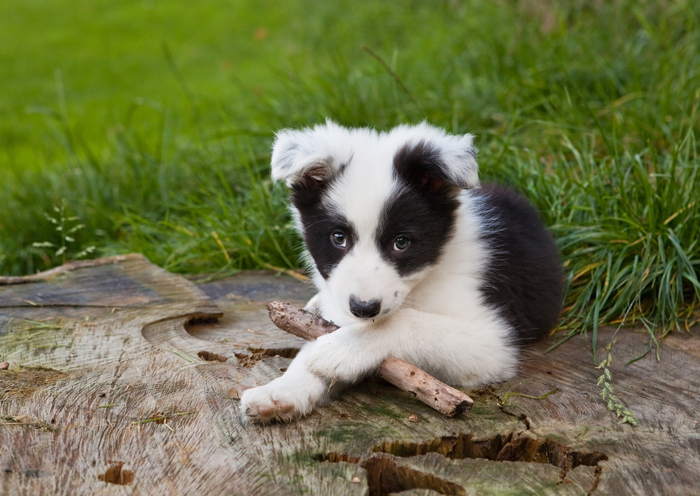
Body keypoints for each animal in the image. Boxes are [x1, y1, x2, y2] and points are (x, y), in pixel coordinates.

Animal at [241, 120, 564, 422]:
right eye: (338, 238)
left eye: (401, 242)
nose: (364, 308)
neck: (424, 279)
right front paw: (279, 391)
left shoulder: (492, 340)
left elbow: (405, 320)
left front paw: (340, 351)